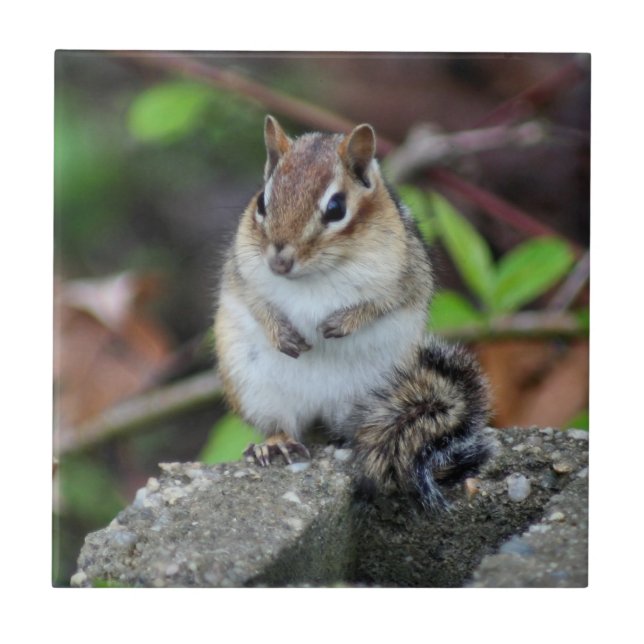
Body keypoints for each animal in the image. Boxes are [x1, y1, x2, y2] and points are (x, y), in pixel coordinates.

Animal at [214, 115, 492, 510]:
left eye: (336, 209)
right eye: (262, 203)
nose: (279, 261)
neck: (315, 276)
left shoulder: (406, 276)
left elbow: (384, 302)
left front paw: (342, 323)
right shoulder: (241, 271)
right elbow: (255, 301)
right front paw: (281, 333)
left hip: (379, 391)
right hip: (255, 387)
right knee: (281, 423)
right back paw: (276, 444)